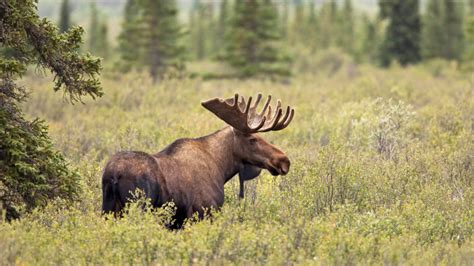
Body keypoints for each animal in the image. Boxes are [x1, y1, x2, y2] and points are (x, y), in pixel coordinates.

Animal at [102, 93, 294, 227]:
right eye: (253, 139)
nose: (284, 160)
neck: (221, 168)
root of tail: (113, 175)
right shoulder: (204, 212)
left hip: (108, 209)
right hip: (137, 207)